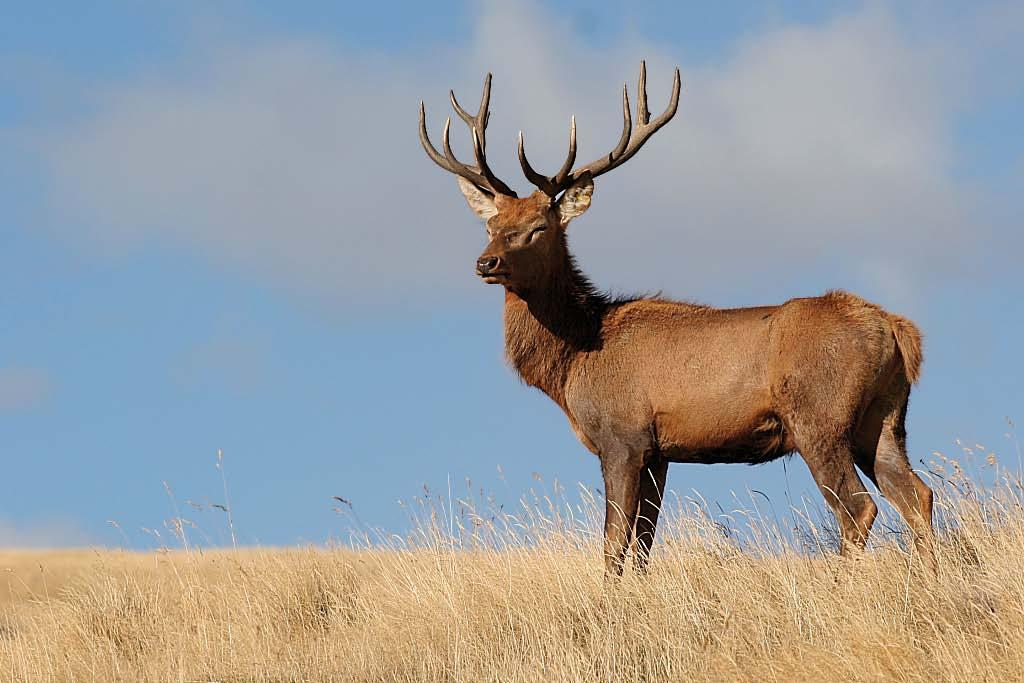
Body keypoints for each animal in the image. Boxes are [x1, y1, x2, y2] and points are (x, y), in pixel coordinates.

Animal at [415, 62, 937, 577]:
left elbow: (613, 544)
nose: (485, 262)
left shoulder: (623, 436)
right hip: (883, 416)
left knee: (859, 507)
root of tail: (897, 330)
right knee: (918, 494)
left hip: (819, 415)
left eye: (538, 227)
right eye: (491, 224)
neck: (574, 360)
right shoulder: (659, 453)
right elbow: (643, 546)